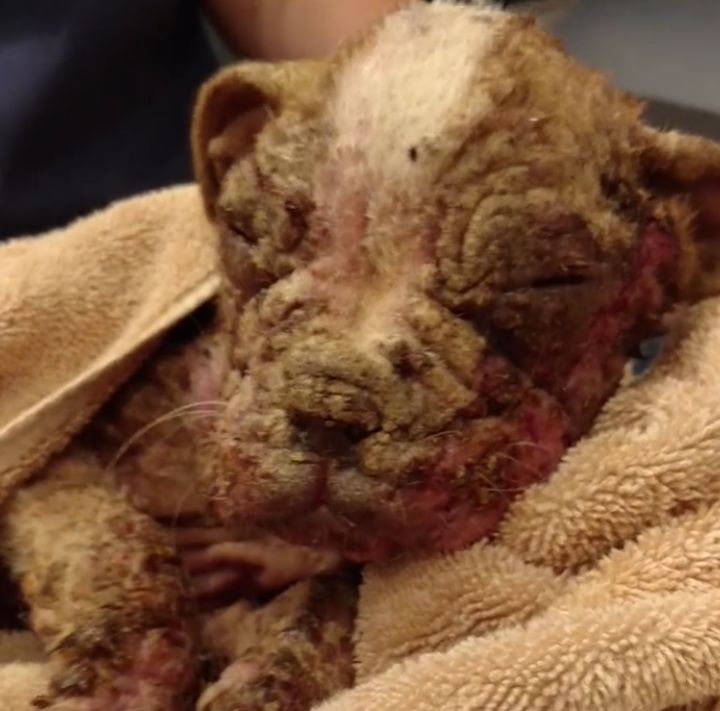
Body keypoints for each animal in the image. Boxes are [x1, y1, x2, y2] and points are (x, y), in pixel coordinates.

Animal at [2, 3, 720, 709]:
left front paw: (272, 675)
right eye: (242, 232)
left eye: (548, 282)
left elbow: (327, 602)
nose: (332, 403)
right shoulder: (66, 465)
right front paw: (123, 671)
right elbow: (105, 535)